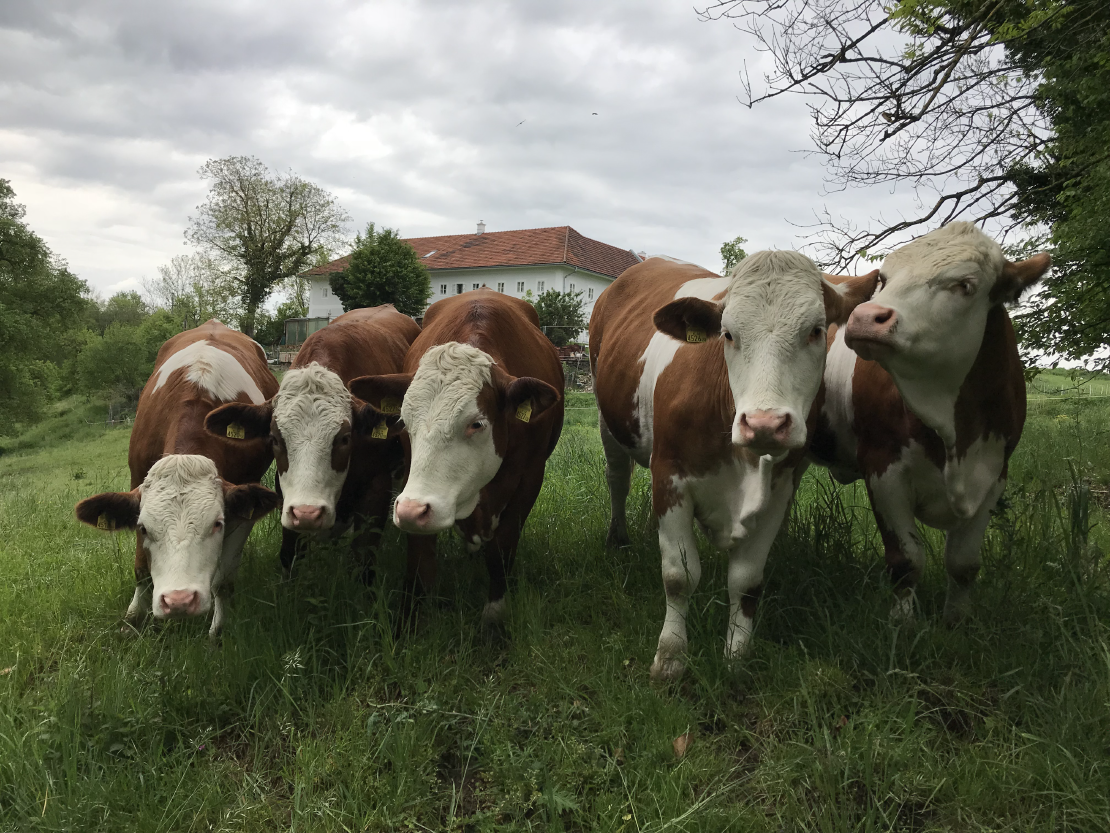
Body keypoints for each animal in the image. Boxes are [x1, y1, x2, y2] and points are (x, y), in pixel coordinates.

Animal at [74, 320, 281, 637]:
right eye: (144, 528)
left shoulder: (244, 505)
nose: (179, 600)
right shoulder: (136, 485)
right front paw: (132, 618)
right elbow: (141, 570)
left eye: (217, 524)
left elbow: (223, 581)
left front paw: (217, 632)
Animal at [203, 305, 422, 583]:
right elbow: (290, 555)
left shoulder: (377, 489)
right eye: (275, 439)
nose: (307, 512)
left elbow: (363, 560)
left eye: (345, 438)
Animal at [349, 289, 564, 625]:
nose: (411, 510)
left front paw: (494, 616)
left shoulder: (530, 477)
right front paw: (408, 622)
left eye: (476, 423)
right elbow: (420, 562)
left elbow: (502, 550)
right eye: (404, 422)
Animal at [590, 253, 878, 680]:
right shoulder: (669, 476)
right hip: (608, 421)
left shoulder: (779, 490)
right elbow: (678, 576)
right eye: (727, 333)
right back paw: (618, 537)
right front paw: (671, 657)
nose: (764, 423)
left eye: (816, 330)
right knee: (618, 480)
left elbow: (746, 581)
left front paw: (736, 656)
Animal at [812, 221, 1051, 623]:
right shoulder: (883, 468)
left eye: (965, 285)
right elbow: (906, 559)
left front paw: (957, 619)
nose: (865, 317)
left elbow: (964, 563)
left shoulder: (994, 475)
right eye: (884, 278)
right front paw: (902, 621)